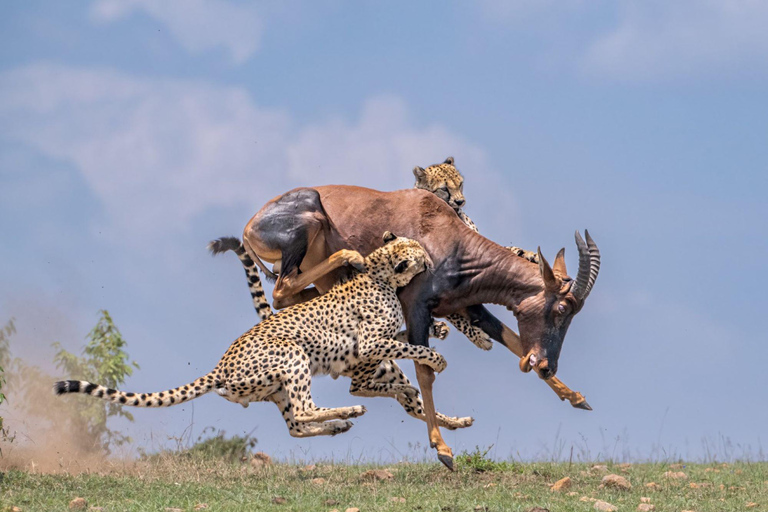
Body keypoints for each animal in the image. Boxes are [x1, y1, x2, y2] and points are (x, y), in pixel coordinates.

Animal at [54, 234, 472, 438]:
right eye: (419, 255)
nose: (431, 260)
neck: (379, 272)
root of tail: (220, 367)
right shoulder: (369, 345)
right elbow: (408, 345)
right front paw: (436, 357)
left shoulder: (376, 345)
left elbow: (403, 336)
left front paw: (439, 329)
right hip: (292, 356)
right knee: (307, 409)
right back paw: (348, 412)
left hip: (275, 388)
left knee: (297, 424)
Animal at [240, 186, 600, 470]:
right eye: (562, 307)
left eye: (574, 311)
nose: (546, 365)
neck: (448, 239)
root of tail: (249, 226)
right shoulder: (416, 310)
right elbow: (425, 372)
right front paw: (443, 451)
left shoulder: (470, 308)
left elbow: (512, 340)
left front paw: (577, 398)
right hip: (307, 231)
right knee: (282, 290)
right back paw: (351, 258)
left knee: (296, 296)